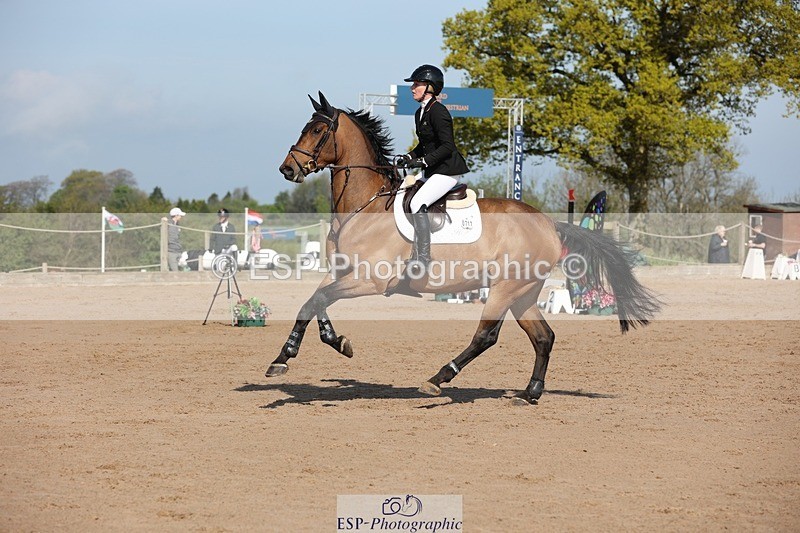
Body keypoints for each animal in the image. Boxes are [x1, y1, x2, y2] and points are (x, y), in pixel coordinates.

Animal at [266, 91, 660, 405]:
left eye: (318, 131)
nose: (287, 169)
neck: (365, 206)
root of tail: (550, 224)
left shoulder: (370, 281)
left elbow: (317, 300)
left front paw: (289, 356)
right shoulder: (342, 272)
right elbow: (313, 302)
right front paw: (322, 345)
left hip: (504, 288)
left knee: (487, 336)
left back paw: (438, 379)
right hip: (524, 293)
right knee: (544, 337)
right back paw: (530, 393)